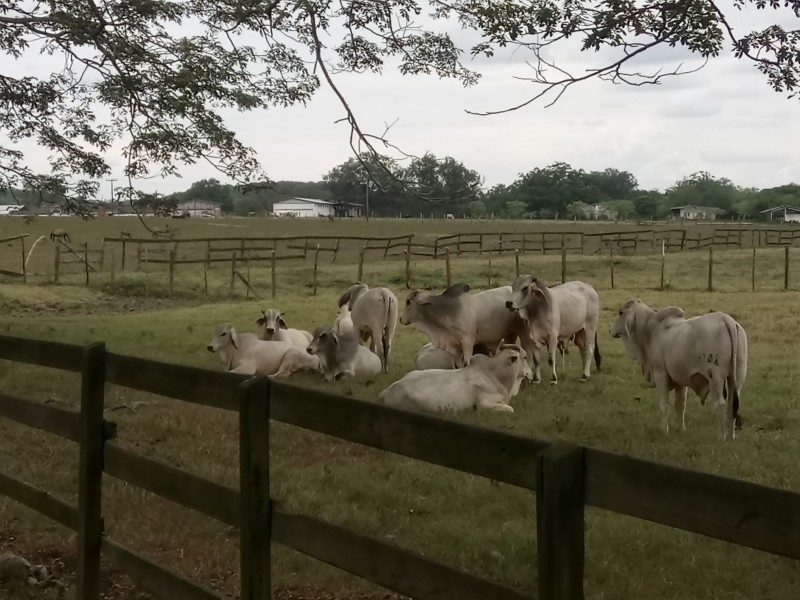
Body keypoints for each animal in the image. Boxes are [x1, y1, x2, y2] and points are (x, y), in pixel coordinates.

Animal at [378, 344, 536, 414]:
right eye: (525, 357)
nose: (531, 374)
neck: (495, 375)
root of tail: (386, 392)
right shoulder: (483, 404)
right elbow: (510, 409)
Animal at [398, 282, 536, 370]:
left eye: (408, 302)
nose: (400, 319)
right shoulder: (455, 347)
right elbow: (458, 366)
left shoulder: (468, 342)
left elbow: (467, 363)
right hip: (509, 334)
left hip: (522, 333)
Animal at [612, 300, 752, 440]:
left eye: (620, 312)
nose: (610, 330)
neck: (651, 330)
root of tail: (727, 320)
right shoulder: (681, 380)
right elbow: (680, 406)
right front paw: (681, 429)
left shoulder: (660, 374)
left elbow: (664, 405)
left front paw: (664, 430)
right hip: (736, 378)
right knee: (732, 405)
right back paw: (731, 437)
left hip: (715, 379)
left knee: (720, 405)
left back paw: (721, 438)